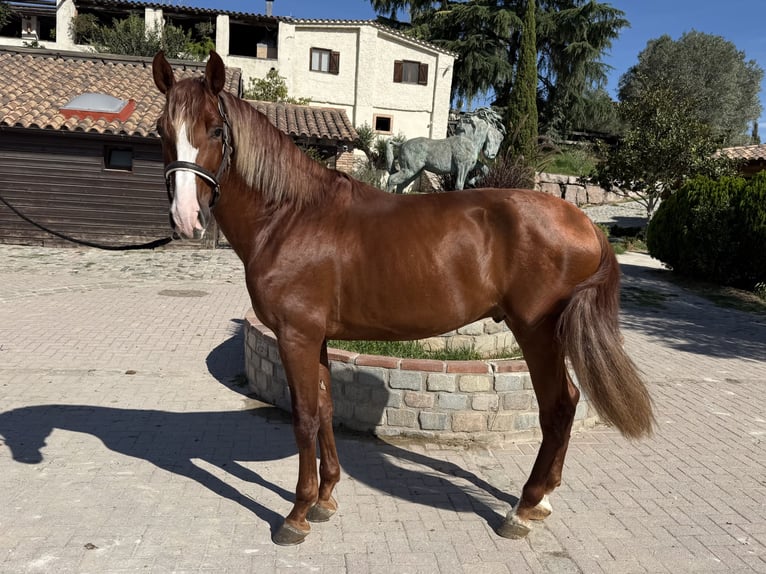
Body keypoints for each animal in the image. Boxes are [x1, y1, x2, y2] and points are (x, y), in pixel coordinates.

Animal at [152, 51, 654, 546]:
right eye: (162, 130)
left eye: (216, 130)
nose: (186, 217)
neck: (290, 216)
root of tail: (584, 222)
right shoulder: (316, 337)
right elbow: (327, 408)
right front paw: (326, 498)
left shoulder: (295, 336)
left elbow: (304, 418)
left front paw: (296, 514)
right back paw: (541, 500)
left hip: (537, 334)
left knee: (559, 406)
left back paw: (525, 507)